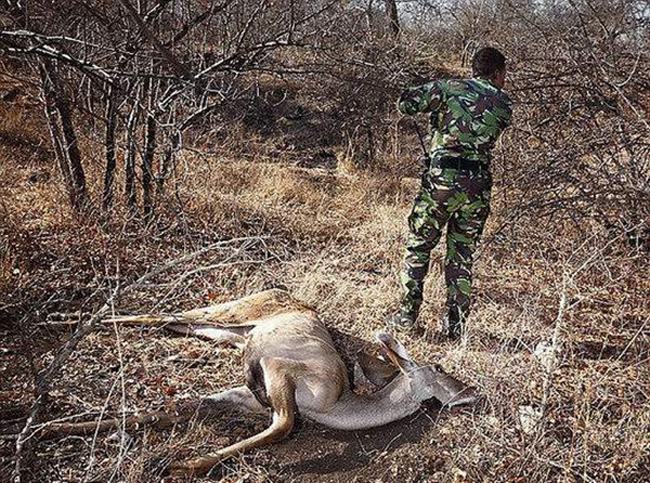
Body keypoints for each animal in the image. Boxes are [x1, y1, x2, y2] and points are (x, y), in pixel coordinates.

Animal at [41, 292, 476, 476]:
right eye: (439, 365)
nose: (471, 391)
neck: (336, 405)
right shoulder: (281, 369)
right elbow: (283, 424)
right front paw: (184, 465)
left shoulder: (245, 398)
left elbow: (176, 409)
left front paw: (54, 428)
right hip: (229, 313)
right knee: (160, 314)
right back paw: (61, 320)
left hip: (219, 330)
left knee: (169, 322)